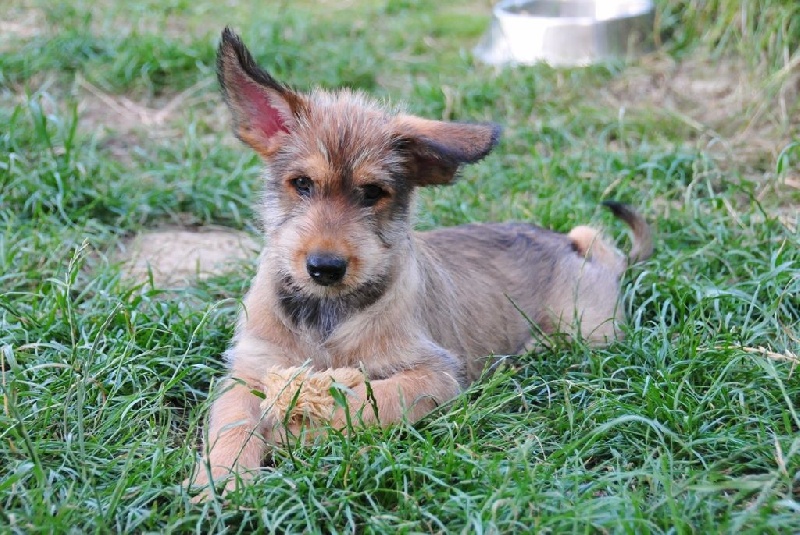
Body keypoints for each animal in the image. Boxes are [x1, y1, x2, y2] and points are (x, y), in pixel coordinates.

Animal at [189, 28, 653, 494]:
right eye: (301, 184)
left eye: (372, 193)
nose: (324, 268)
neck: (326, 316)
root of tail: (578, 248)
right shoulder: (249, 370)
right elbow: (230, 423)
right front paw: (222, 480)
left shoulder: (434, 375)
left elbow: (365, 401)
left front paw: (299, 426)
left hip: (588, 330)